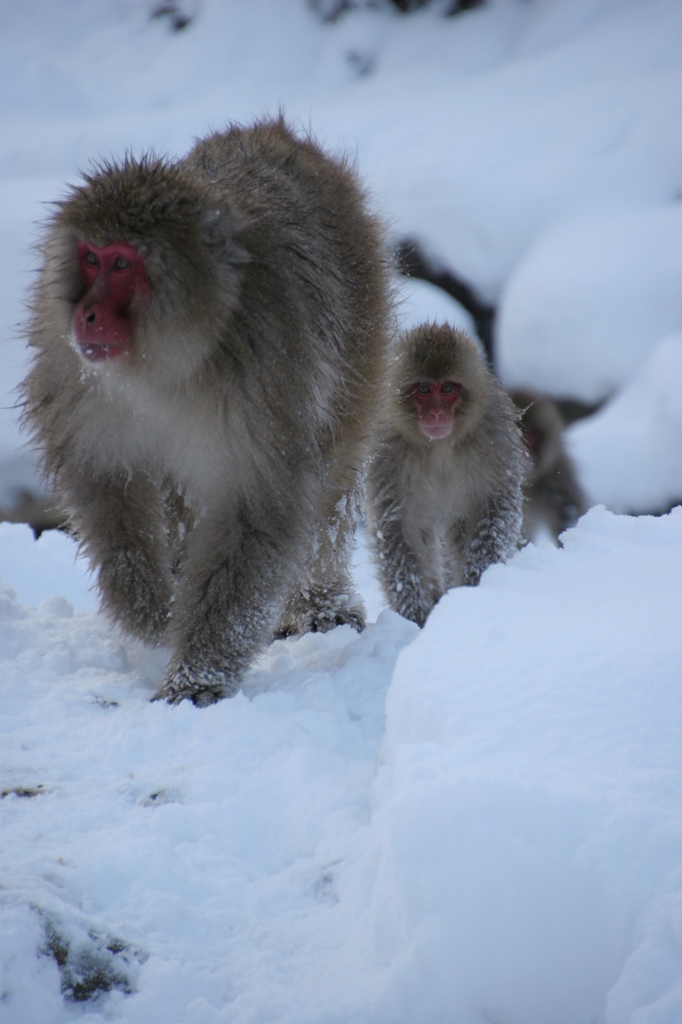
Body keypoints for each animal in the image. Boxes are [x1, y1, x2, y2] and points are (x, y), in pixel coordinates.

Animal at [364, 323, 522, 622]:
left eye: (448, 388)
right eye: (424, 389)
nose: (436, 414)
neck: (439, 446)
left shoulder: (492, 437)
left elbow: (493, 507)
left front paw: (475, 585)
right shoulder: (386, 454)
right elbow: (398, 526)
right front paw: (415, 615)